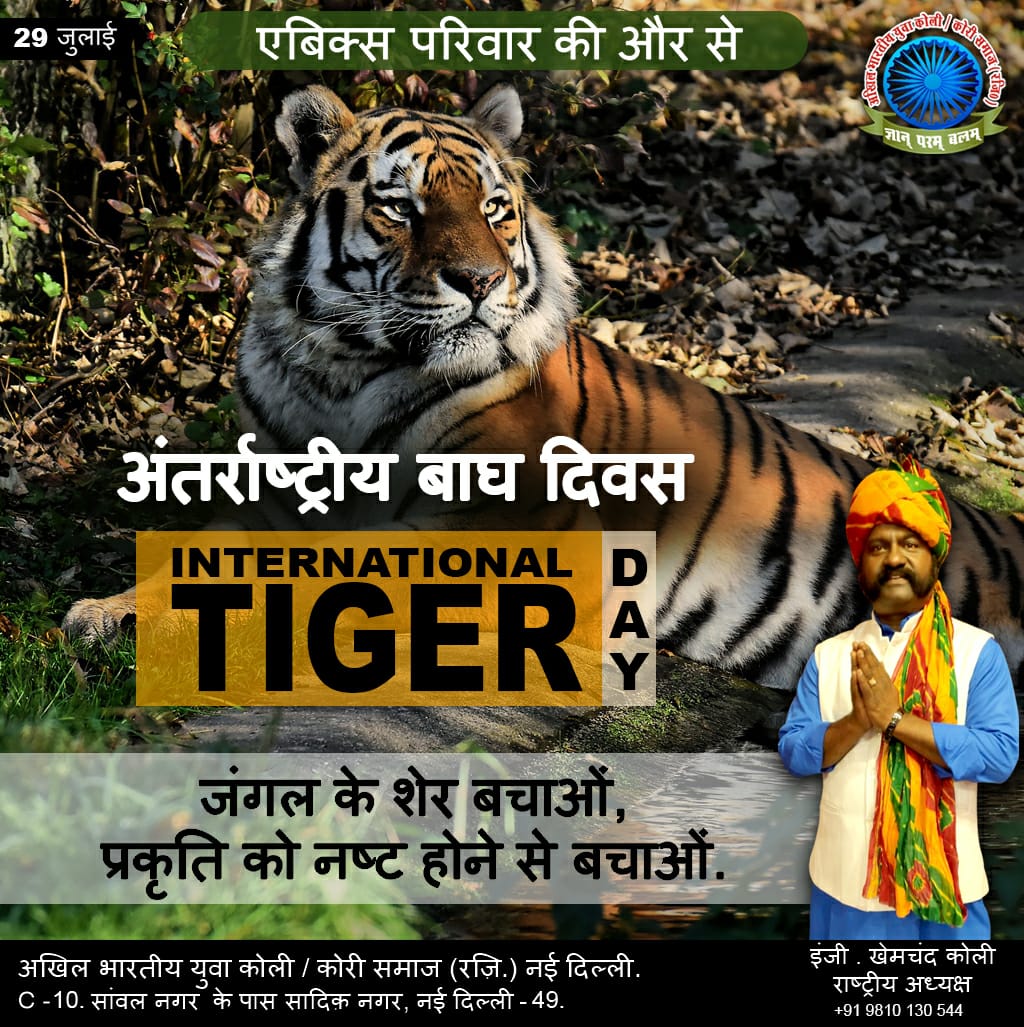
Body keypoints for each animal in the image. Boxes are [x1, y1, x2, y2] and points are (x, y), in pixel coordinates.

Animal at [64, 83, 1024, 692]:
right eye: (400, 207)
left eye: (493, 208)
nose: (479, 282)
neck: (344, 369)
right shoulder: (269, 499)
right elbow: (193, 557)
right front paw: (105, 614)